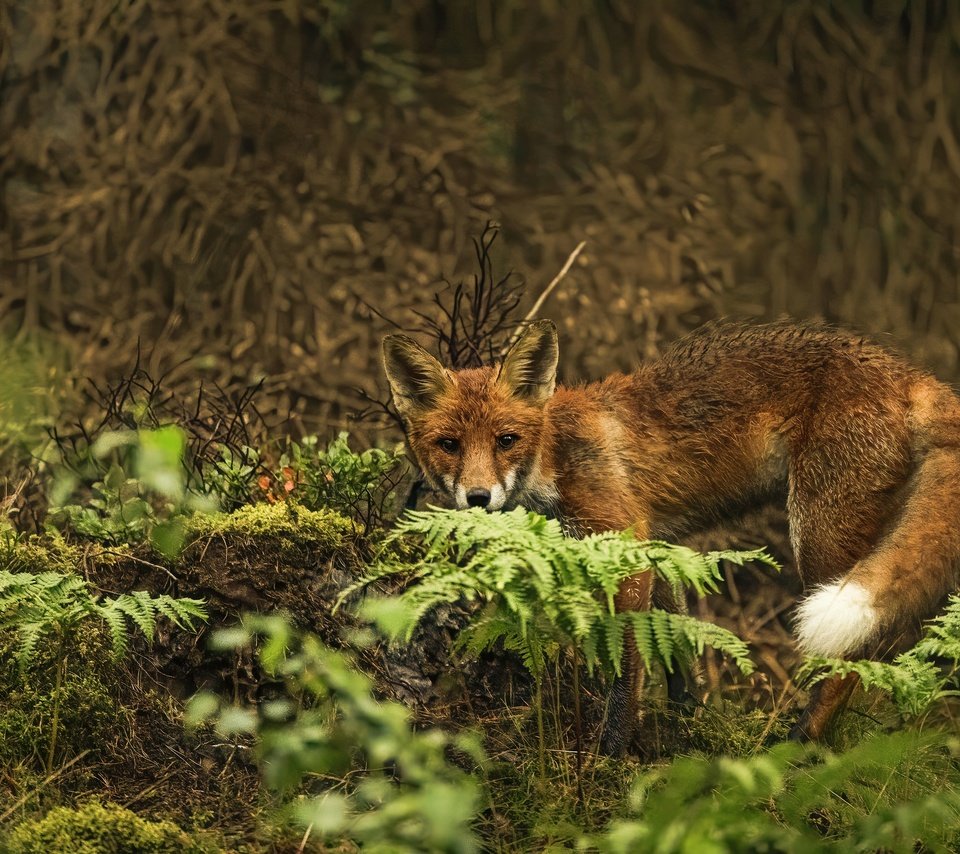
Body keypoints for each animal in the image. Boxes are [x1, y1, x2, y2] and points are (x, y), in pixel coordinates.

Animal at [378, 320, 960, 756]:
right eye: (449, 444)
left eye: (506, 440)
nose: (478, 498)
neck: (555, 457)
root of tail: (912, 374)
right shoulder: (654, 548)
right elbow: (678, 642)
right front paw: (688, 719)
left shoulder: (625, 550)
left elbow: (625, 671)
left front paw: (611, 755)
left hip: (818, 534)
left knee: (857, 658)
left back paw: (798, 743)